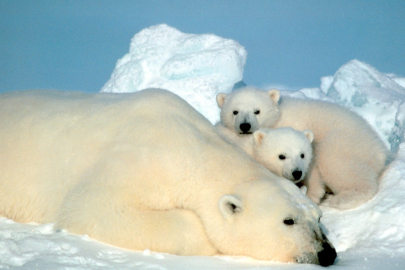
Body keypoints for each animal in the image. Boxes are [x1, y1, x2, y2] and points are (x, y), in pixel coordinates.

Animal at [216, 87, 386, 210]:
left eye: (257, 111)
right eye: (235, 111)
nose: (245, 125)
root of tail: (380, 149)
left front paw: (310, 195)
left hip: (346, 141)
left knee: (336, 162)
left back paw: (343, 199)